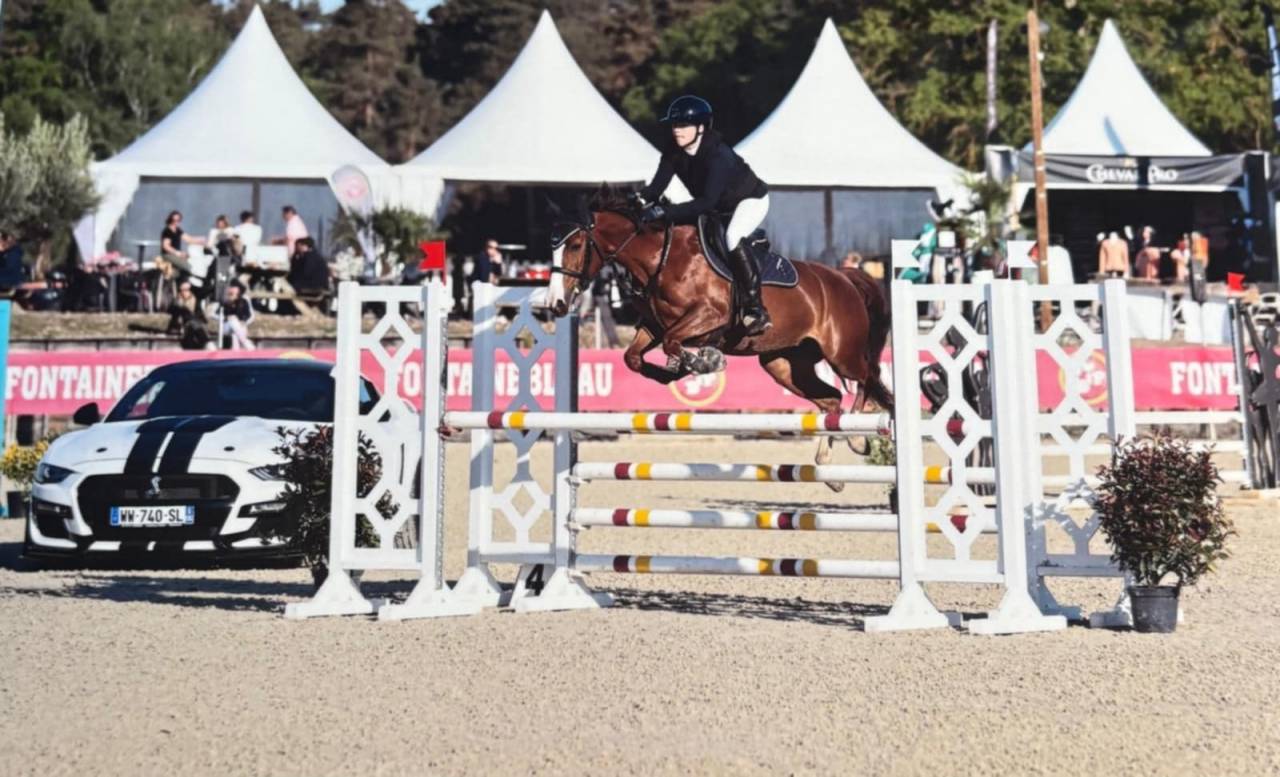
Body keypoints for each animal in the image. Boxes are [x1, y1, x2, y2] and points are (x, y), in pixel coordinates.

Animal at [546, 199, 893, 491]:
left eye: (575, 245)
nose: (556, 304)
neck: (661, 259)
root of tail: (845, 277)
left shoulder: (709, 315)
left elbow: (673, 342)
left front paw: (706, 362)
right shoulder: (653, 326)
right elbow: (633, 357)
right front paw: (675, 371)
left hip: (842, 354)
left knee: (870, 379)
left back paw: (859, 438)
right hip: (784, 365)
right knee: (832, 398)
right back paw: (830, 471)